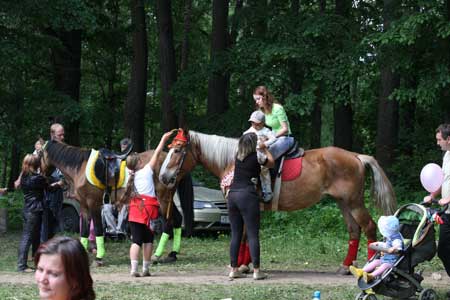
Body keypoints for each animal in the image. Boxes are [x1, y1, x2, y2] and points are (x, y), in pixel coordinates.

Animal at [40, 140, 181, 262]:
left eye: (39, 154)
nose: (41, 175)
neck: (80, 168)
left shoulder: (94, 203)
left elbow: (97, 229)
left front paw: (99, 257)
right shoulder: (84, 206)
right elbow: (84, 231)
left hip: (163, 199)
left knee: (169, 222)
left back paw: (157, 255)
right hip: (168, 199)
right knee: (177, 219)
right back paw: (173, 254)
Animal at [158, 130, 398, 274]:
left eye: (177, 150)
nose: (163, 177)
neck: (236, 160)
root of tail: (357, 156)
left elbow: (244, 234)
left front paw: (243, 265)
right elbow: (248, 235)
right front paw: (246, 264)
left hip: (354, 202)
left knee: (369, 227)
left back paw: (368, 265)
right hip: (343, 203)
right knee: (353, 231)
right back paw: (345, 266)